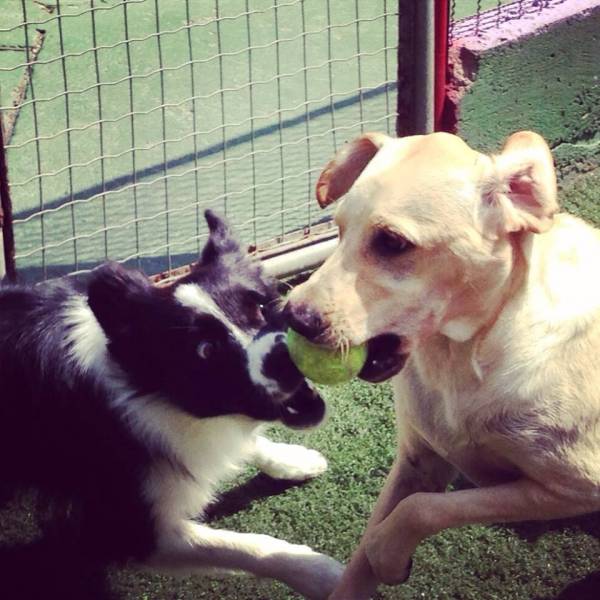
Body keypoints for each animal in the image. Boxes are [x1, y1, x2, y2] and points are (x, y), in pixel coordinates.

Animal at [1, 213, 342, 596]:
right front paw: (324, 574)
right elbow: (246, 546)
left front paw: (292, 460)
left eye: (259, 305)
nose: (284, 358)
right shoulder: (129, 528)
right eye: (206, 350)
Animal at [284, 132, 600, 600]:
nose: (292, 316)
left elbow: (421, 510)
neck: (462, 360)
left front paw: (386, 552)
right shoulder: (417, 460)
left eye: (393, 242)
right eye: (338, 230)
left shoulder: (574, 486)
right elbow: (363, 559)